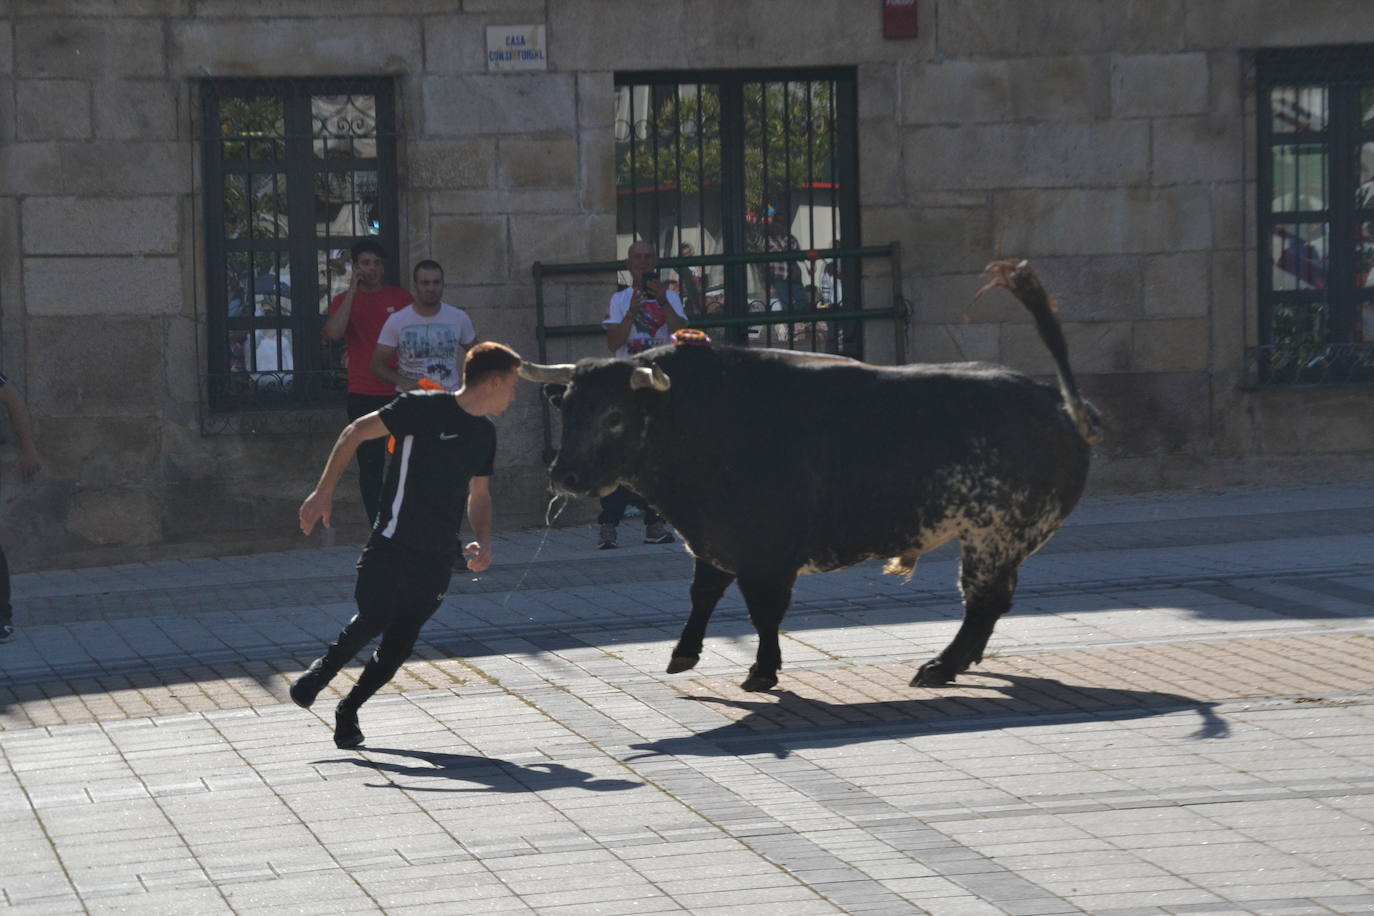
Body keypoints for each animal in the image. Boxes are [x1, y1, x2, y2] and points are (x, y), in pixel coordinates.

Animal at [519, 260, 1099, 692]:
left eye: (615, 416)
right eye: (568, 408)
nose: (565, 474)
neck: (702, 415)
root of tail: (1060, 404)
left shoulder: (766, 554)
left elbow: (763, 611)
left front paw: (761, 671)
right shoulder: (716, 540)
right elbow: (703, 594)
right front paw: (683, 655)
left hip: (995, 535)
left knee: (984, 602)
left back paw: (939, 666)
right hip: (995, 539)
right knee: (992, 602)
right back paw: (957, 664)